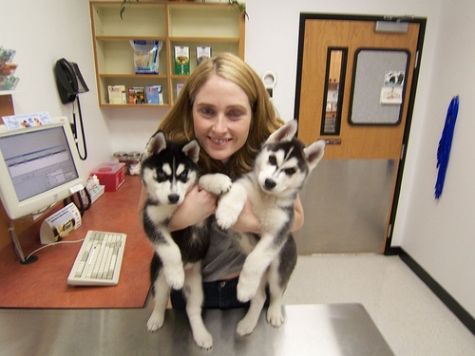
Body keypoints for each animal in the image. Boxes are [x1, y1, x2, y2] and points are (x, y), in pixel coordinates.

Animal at [141, 132, 231, 350]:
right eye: (161, 174)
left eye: (183, 176)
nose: (174, 197)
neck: (174, 207)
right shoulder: (151, 219)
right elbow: (170, 248)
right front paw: (176, 274)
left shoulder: (204, 213)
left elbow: (201, 178)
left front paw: (218, 180)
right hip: (159, 277)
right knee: (160, 299)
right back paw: (156, 318)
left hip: (197, 287)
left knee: (193, 309)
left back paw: (201, 335)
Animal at [217, 121, 326, 336]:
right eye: (272, 159)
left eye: (290, 171)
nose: (269, 182)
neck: (266, 197)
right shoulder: (244, 184)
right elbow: (237, 191)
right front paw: (226, 212)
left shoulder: (279, 231)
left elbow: (255, 259)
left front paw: (244, 288)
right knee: (260, 297)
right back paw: (248, 322)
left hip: (279, 266)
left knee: (276, 294)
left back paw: (274, 312)